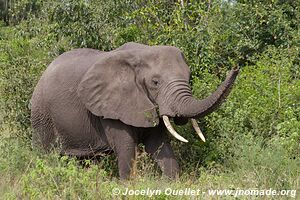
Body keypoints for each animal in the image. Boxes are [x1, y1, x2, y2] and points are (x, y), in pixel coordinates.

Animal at [31, 42, 239, 180]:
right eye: (155, 82)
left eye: (189, 78)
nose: (236, 66)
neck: (141, 54)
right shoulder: (112, 107)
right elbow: (126, 147)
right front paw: (127, 185)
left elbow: (158, 144)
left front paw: (170, 183)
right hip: (42, 115)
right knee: (47, 154)